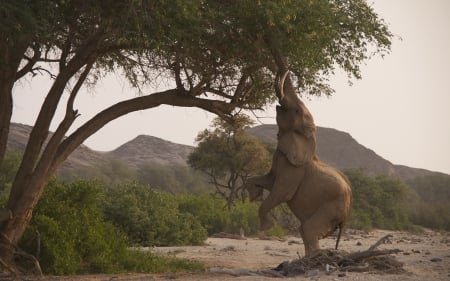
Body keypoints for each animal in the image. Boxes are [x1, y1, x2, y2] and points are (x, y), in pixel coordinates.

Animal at [243, 70, 352, 256]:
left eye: (296, 110)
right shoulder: (281, 157)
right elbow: (268, 181)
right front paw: (254, 194)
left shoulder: (294, 169)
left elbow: (281, 192)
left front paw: (266, 227)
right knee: (305, 230)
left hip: (334, 206)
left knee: (308, 230)